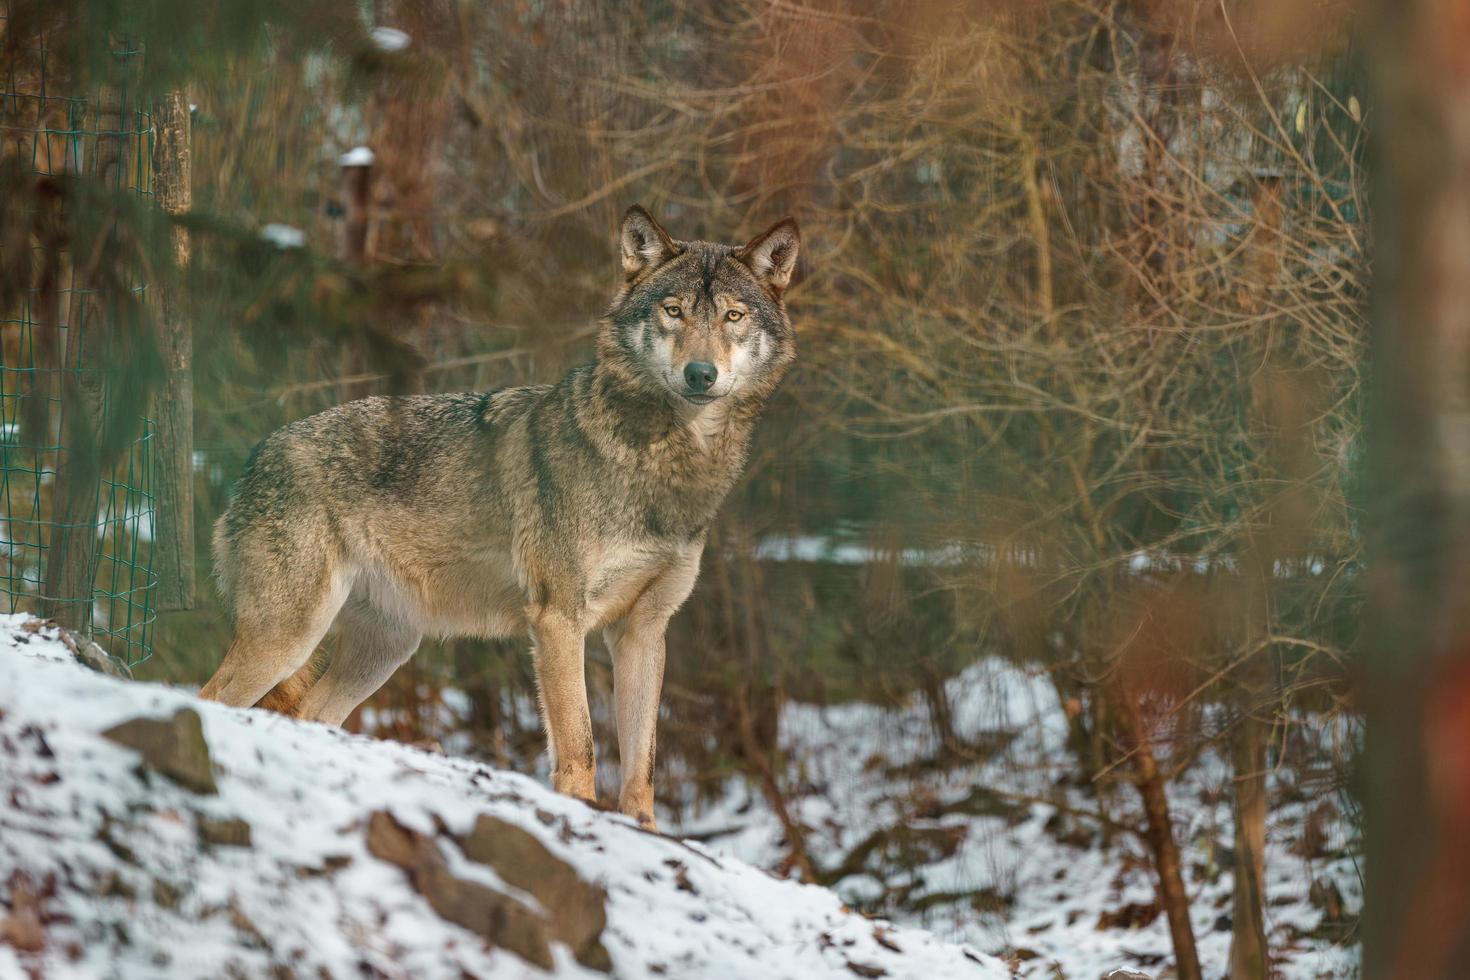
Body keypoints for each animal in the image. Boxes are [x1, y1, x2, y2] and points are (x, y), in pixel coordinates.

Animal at [199, 208, 799, 828]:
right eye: (674, 311)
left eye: (732, 316)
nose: (700, 374)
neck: (669, 465)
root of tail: (254, 456)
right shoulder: (558, 619)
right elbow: (581, 746)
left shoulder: (644, 630)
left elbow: (642, 769)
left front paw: (644, 831)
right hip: (289, 637)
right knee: (209, 698)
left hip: (384, 649)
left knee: (311, 715)